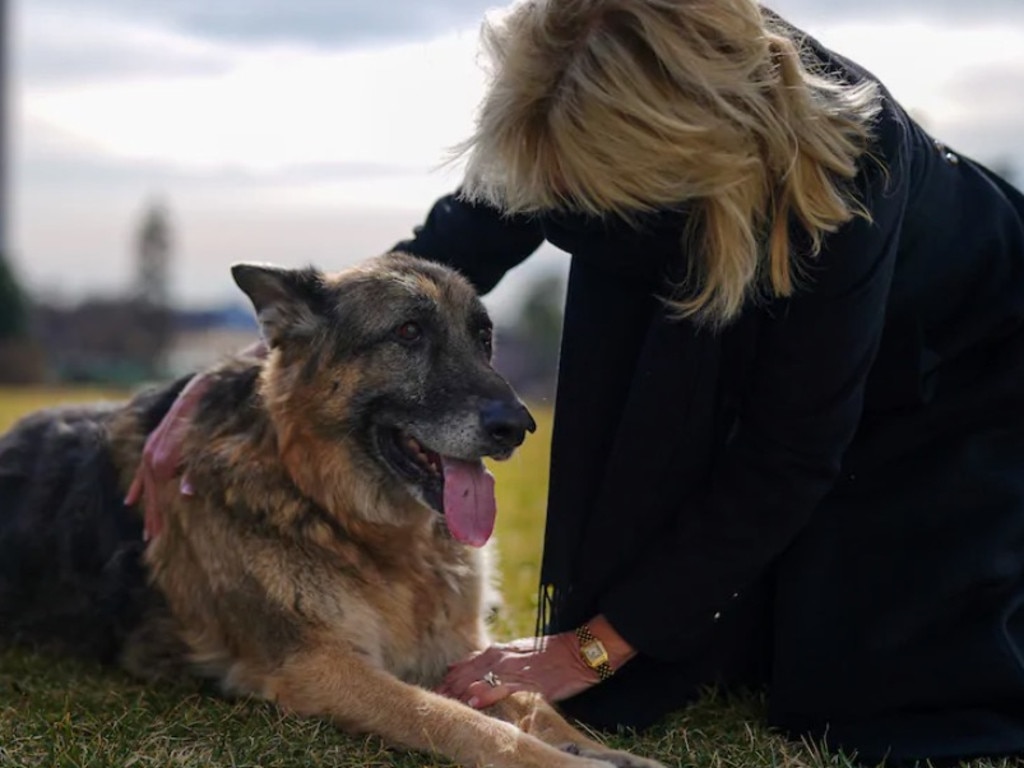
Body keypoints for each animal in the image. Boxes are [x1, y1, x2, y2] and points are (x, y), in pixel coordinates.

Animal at [0, 256, 663, 768]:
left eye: (483, 337)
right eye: (408, 332)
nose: (518, 427)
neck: (335, 511)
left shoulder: (461, 651)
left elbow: (533, 704)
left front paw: (602, 750)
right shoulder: (321, 667)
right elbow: (464, 724)